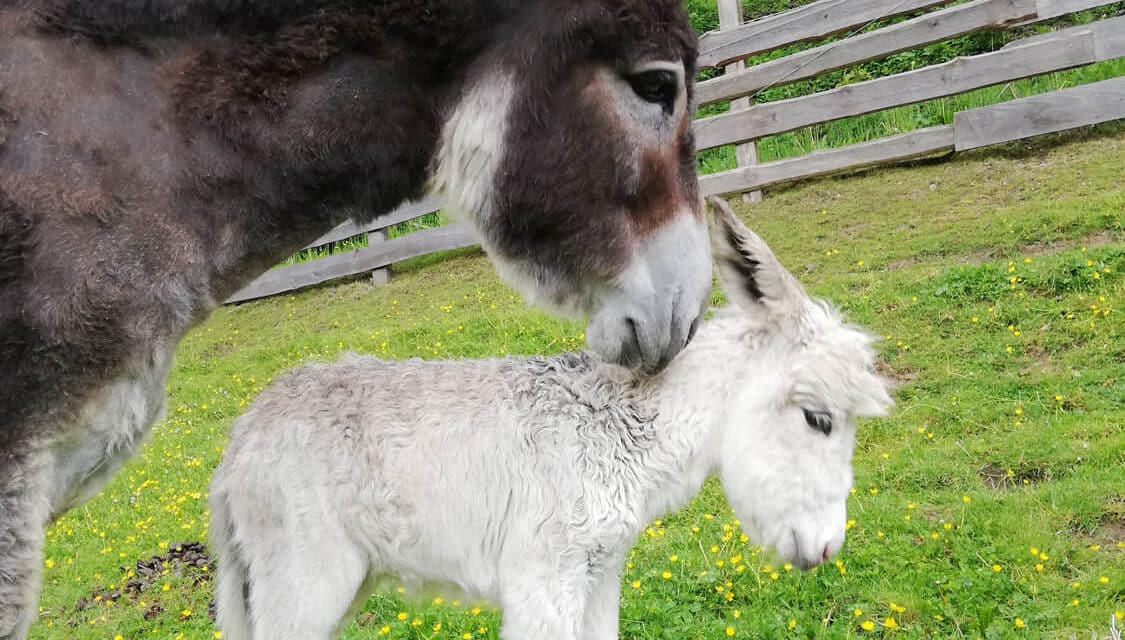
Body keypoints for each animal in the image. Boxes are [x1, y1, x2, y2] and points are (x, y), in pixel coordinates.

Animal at [212, 200, 895, 638]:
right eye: (818, 420)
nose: (827, 547)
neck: (624, 433)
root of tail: (241, 437)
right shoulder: (545, 578)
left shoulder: (598, 574)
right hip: (307, 583)